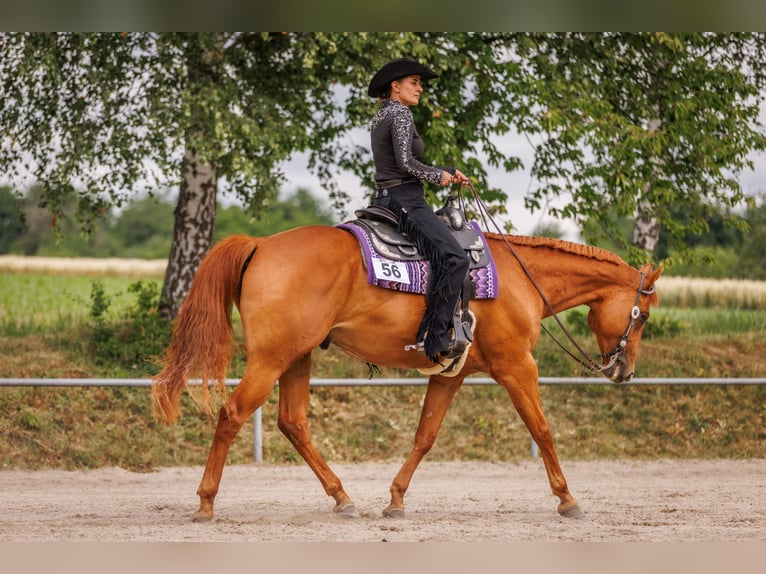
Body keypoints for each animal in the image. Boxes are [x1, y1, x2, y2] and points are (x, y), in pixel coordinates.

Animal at [152, 225, 661, 522]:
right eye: (643, 316)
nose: (625, 371)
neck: (520, 279)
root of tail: (260, 244)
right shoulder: (517, 366)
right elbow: (543, 429)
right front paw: (567, 498)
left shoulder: (451, 373)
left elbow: (425, 435)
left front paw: (395, 500)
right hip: (271, 359)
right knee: (232, 414)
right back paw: (206, 502)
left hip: (296, 358)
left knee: (293, 423)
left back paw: (342, 498)